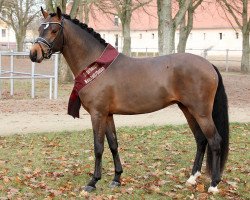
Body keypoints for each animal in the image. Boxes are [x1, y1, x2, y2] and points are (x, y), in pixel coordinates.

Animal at [29, 7, 229, 194]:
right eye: (40, 28)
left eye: (54, 30)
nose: (33, 53)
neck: (96, 65)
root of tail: (209, 65)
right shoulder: (108, 115)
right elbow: (113, 144)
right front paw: (117, 179)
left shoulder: (97, 114)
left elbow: (98, 147)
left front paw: (93, 182)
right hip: (187, 109)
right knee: (201, 140)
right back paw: (192, 178)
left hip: (201, 112)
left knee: (215, 141)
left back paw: (213, 184)